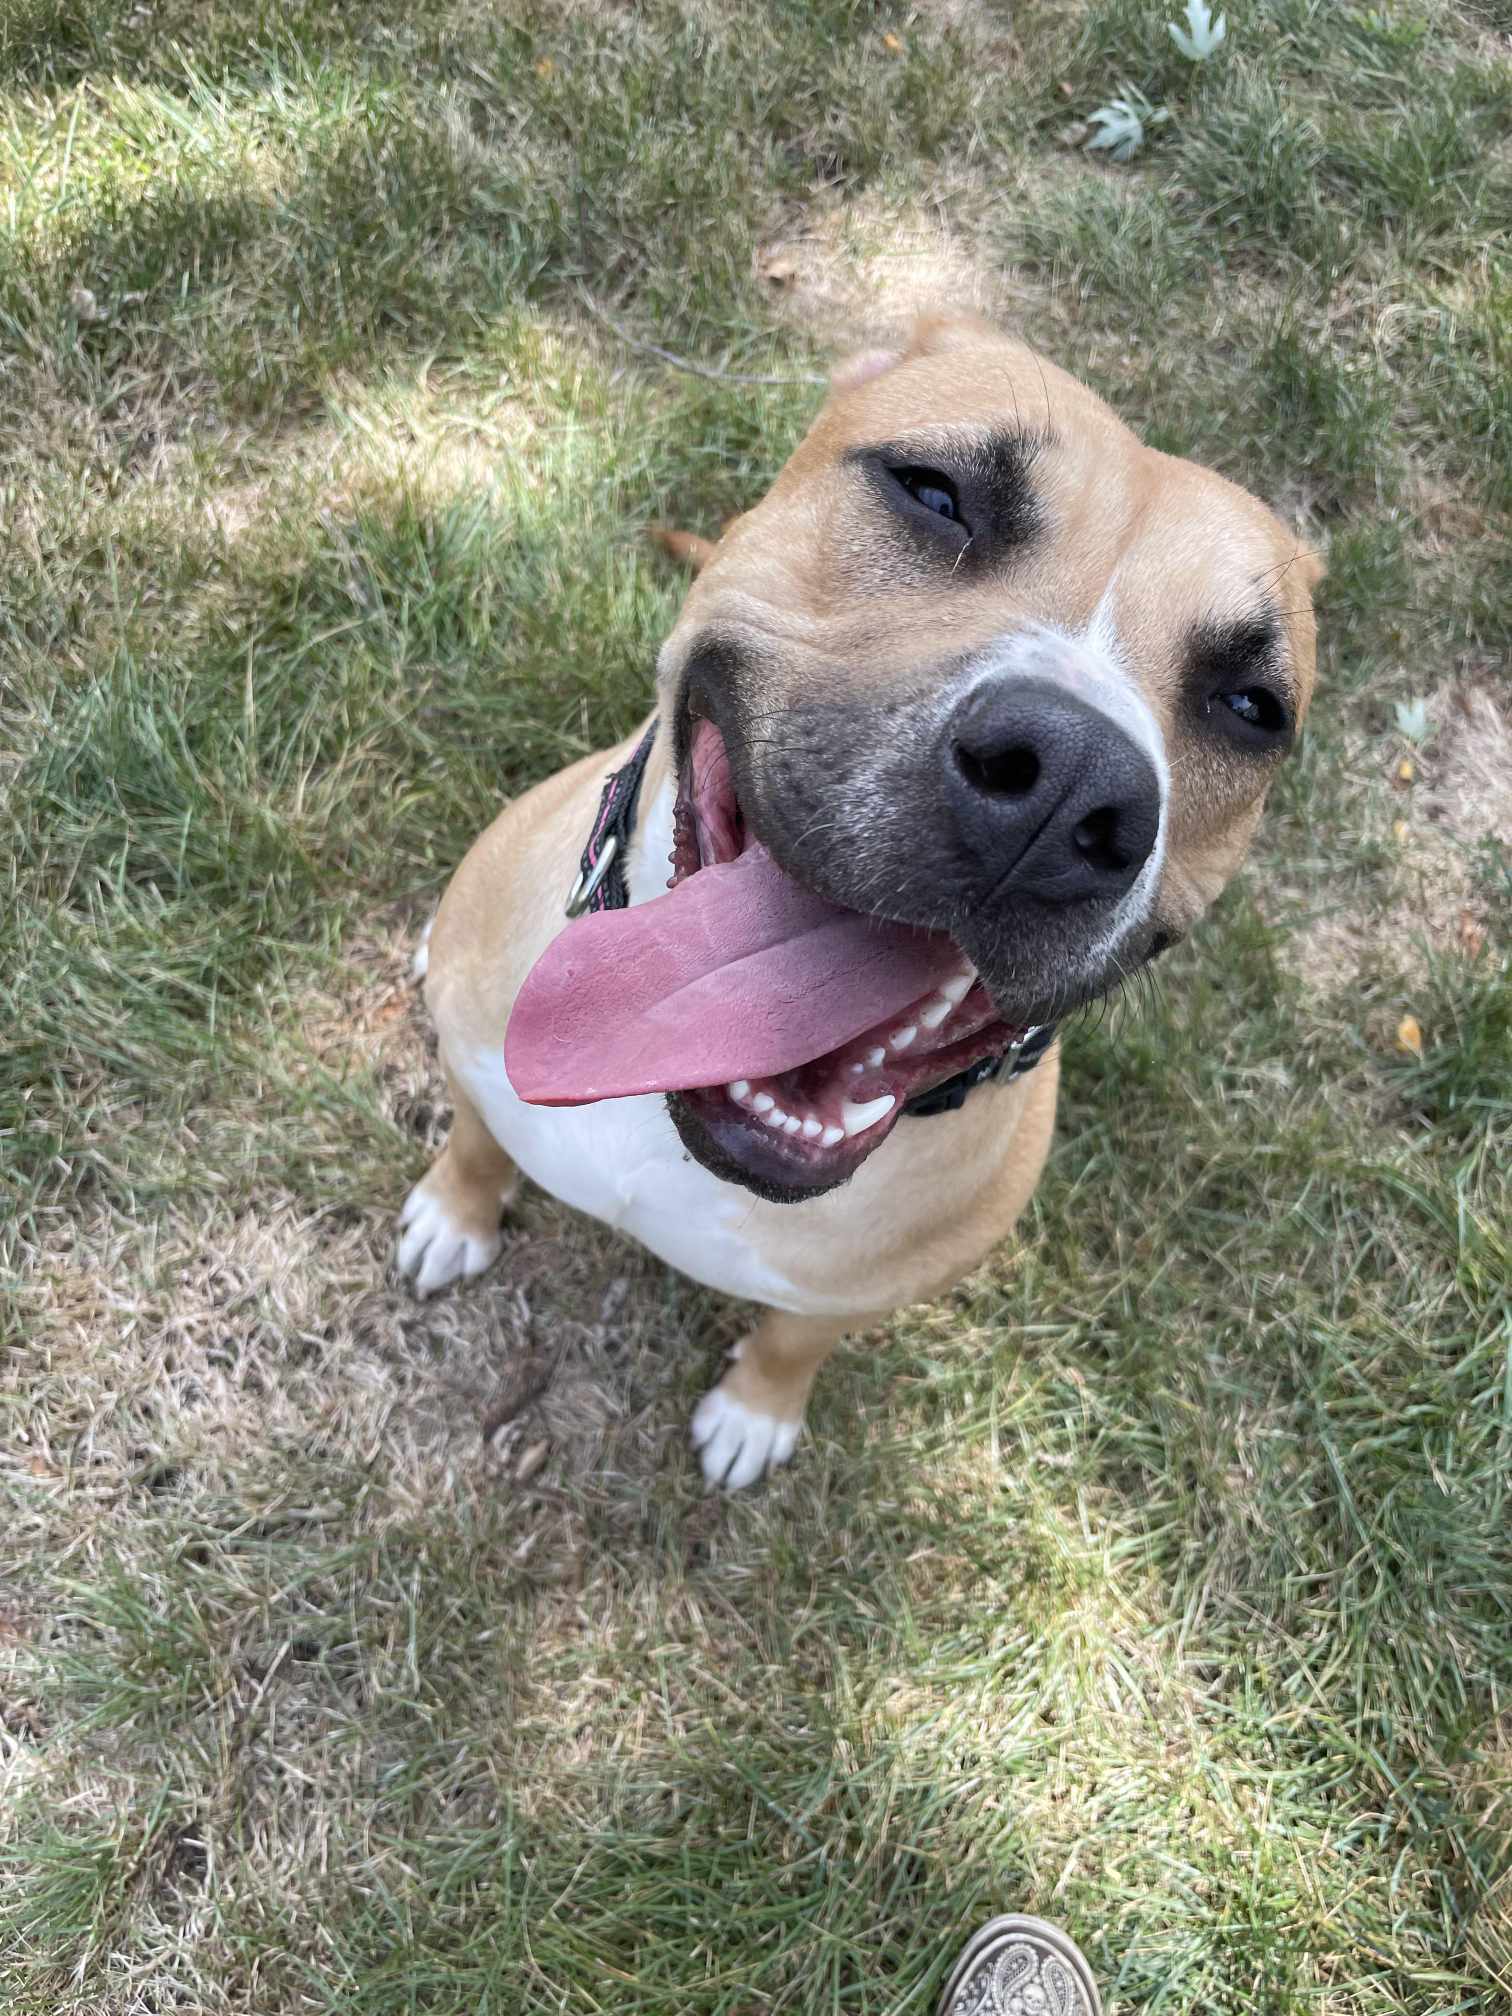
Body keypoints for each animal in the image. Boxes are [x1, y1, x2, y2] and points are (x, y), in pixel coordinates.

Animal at [397, 310, 1322, 1483]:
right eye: (933, 492)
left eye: (1251, 706)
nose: (1066, 782)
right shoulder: (478, 1065)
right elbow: (475, 1142)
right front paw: (455, 1212)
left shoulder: (866, 1292)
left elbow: (796, 1339)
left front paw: (757, 1410)